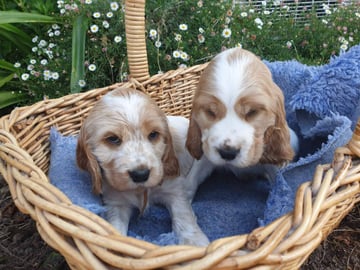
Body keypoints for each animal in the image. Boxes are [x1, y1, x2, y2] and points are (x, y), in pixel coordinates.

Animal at [77, 87, 210, 246]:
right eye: (113, 139)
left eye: (153, 134)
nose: (141, 174)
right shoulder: (116, 201)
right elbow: (115, 225)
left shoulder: (175, 191)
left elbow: (183, 217)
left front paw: (196, 243)